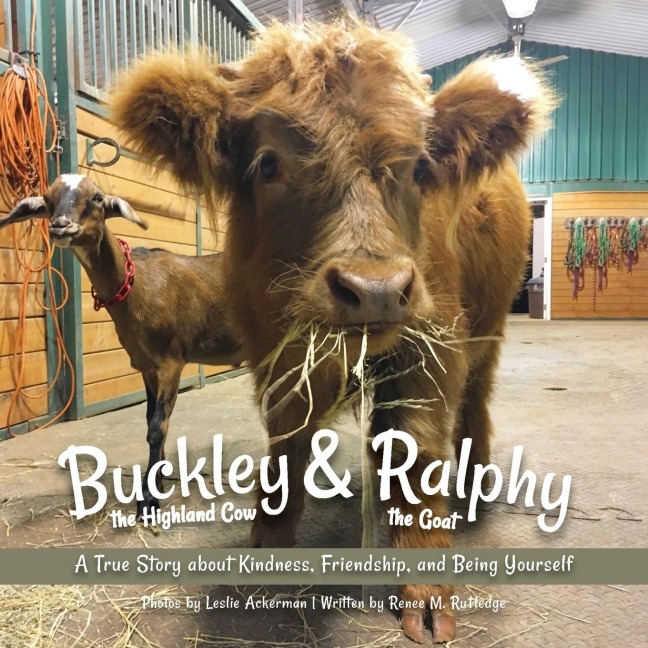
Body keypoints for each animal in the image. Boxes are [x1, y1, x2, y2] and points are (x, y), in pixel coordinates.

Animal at [1, 175, 243, 515]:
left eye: (97, 198)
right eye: (47, 200)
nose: (61, 226)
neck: (137, 286)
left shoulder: (171, 361)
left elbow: (157, 428)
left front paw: (149, 499)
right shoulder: (146, 366)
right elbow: (151, 419)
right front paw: (159, 479)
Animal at [111, 19, 555, 644]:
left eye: (420, 168)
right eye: (268, 164)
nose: (375, 289)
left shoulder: (428, 352)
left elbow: (416, 451)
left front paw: (425, 590)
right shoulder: (277, 353)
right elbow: (286, 443)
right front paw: (269, 540)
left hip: (486, 332)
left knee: (475, 404)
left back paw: (473, 486)